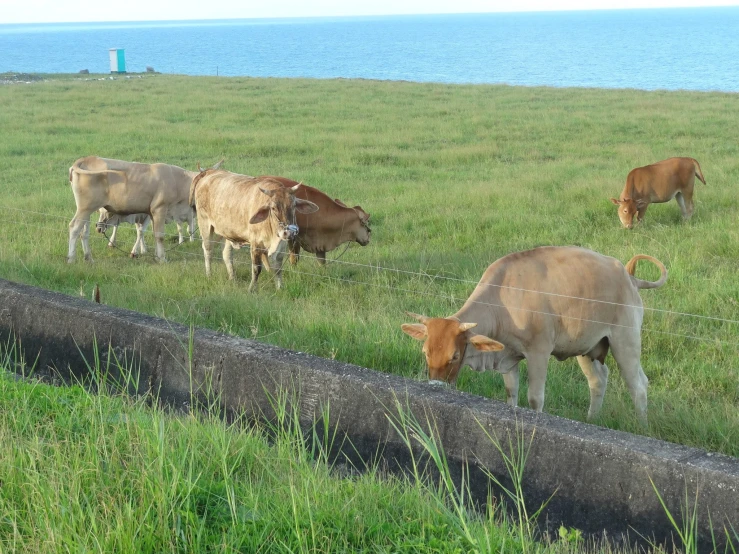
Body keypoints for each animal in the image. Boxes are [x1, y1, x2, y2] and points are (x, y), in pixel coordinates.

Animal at [66, 153, 199, 260]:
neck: (178, 181)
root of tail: (86, 158)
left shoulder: (150, 214)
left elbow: (151, 233)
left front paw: (156, 256)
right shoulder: (160, 209)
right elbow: (159, 236)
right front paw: (162, 259)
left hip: (87, 211)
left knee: (84, 232)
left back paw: (88, 258)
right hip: (85, 208)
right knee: (74, 228)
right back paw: (71, 259)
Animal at [188, 168, 318, 288]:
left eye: (294, 205)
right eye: (273, 208)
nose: (289, 232)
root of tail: (209, 172)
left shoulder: (281, 245)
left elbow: (278, 268)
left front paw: (280, 287)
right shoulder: (256, 243)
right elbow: (257, 268)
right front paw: (252, 289)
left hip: (227, 232)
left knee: (226, 254)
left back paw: (232, 278)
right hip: (205, 225)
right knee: (208, 250)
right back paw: (209, 275)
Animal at [404, 246, 672, 422]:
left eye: (455, 356)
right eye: (425, 352)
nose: (435, 386)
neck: (504, 297)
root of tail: (628, 275)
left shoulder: (539, 352)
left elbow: (535, 399)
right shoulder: (508, 355)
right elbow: (511, 394)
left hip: (625, 341)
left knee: (638, 385)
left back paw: (641, 425)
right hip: (586, 347)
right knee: (598, 381)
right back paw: (591, 420)